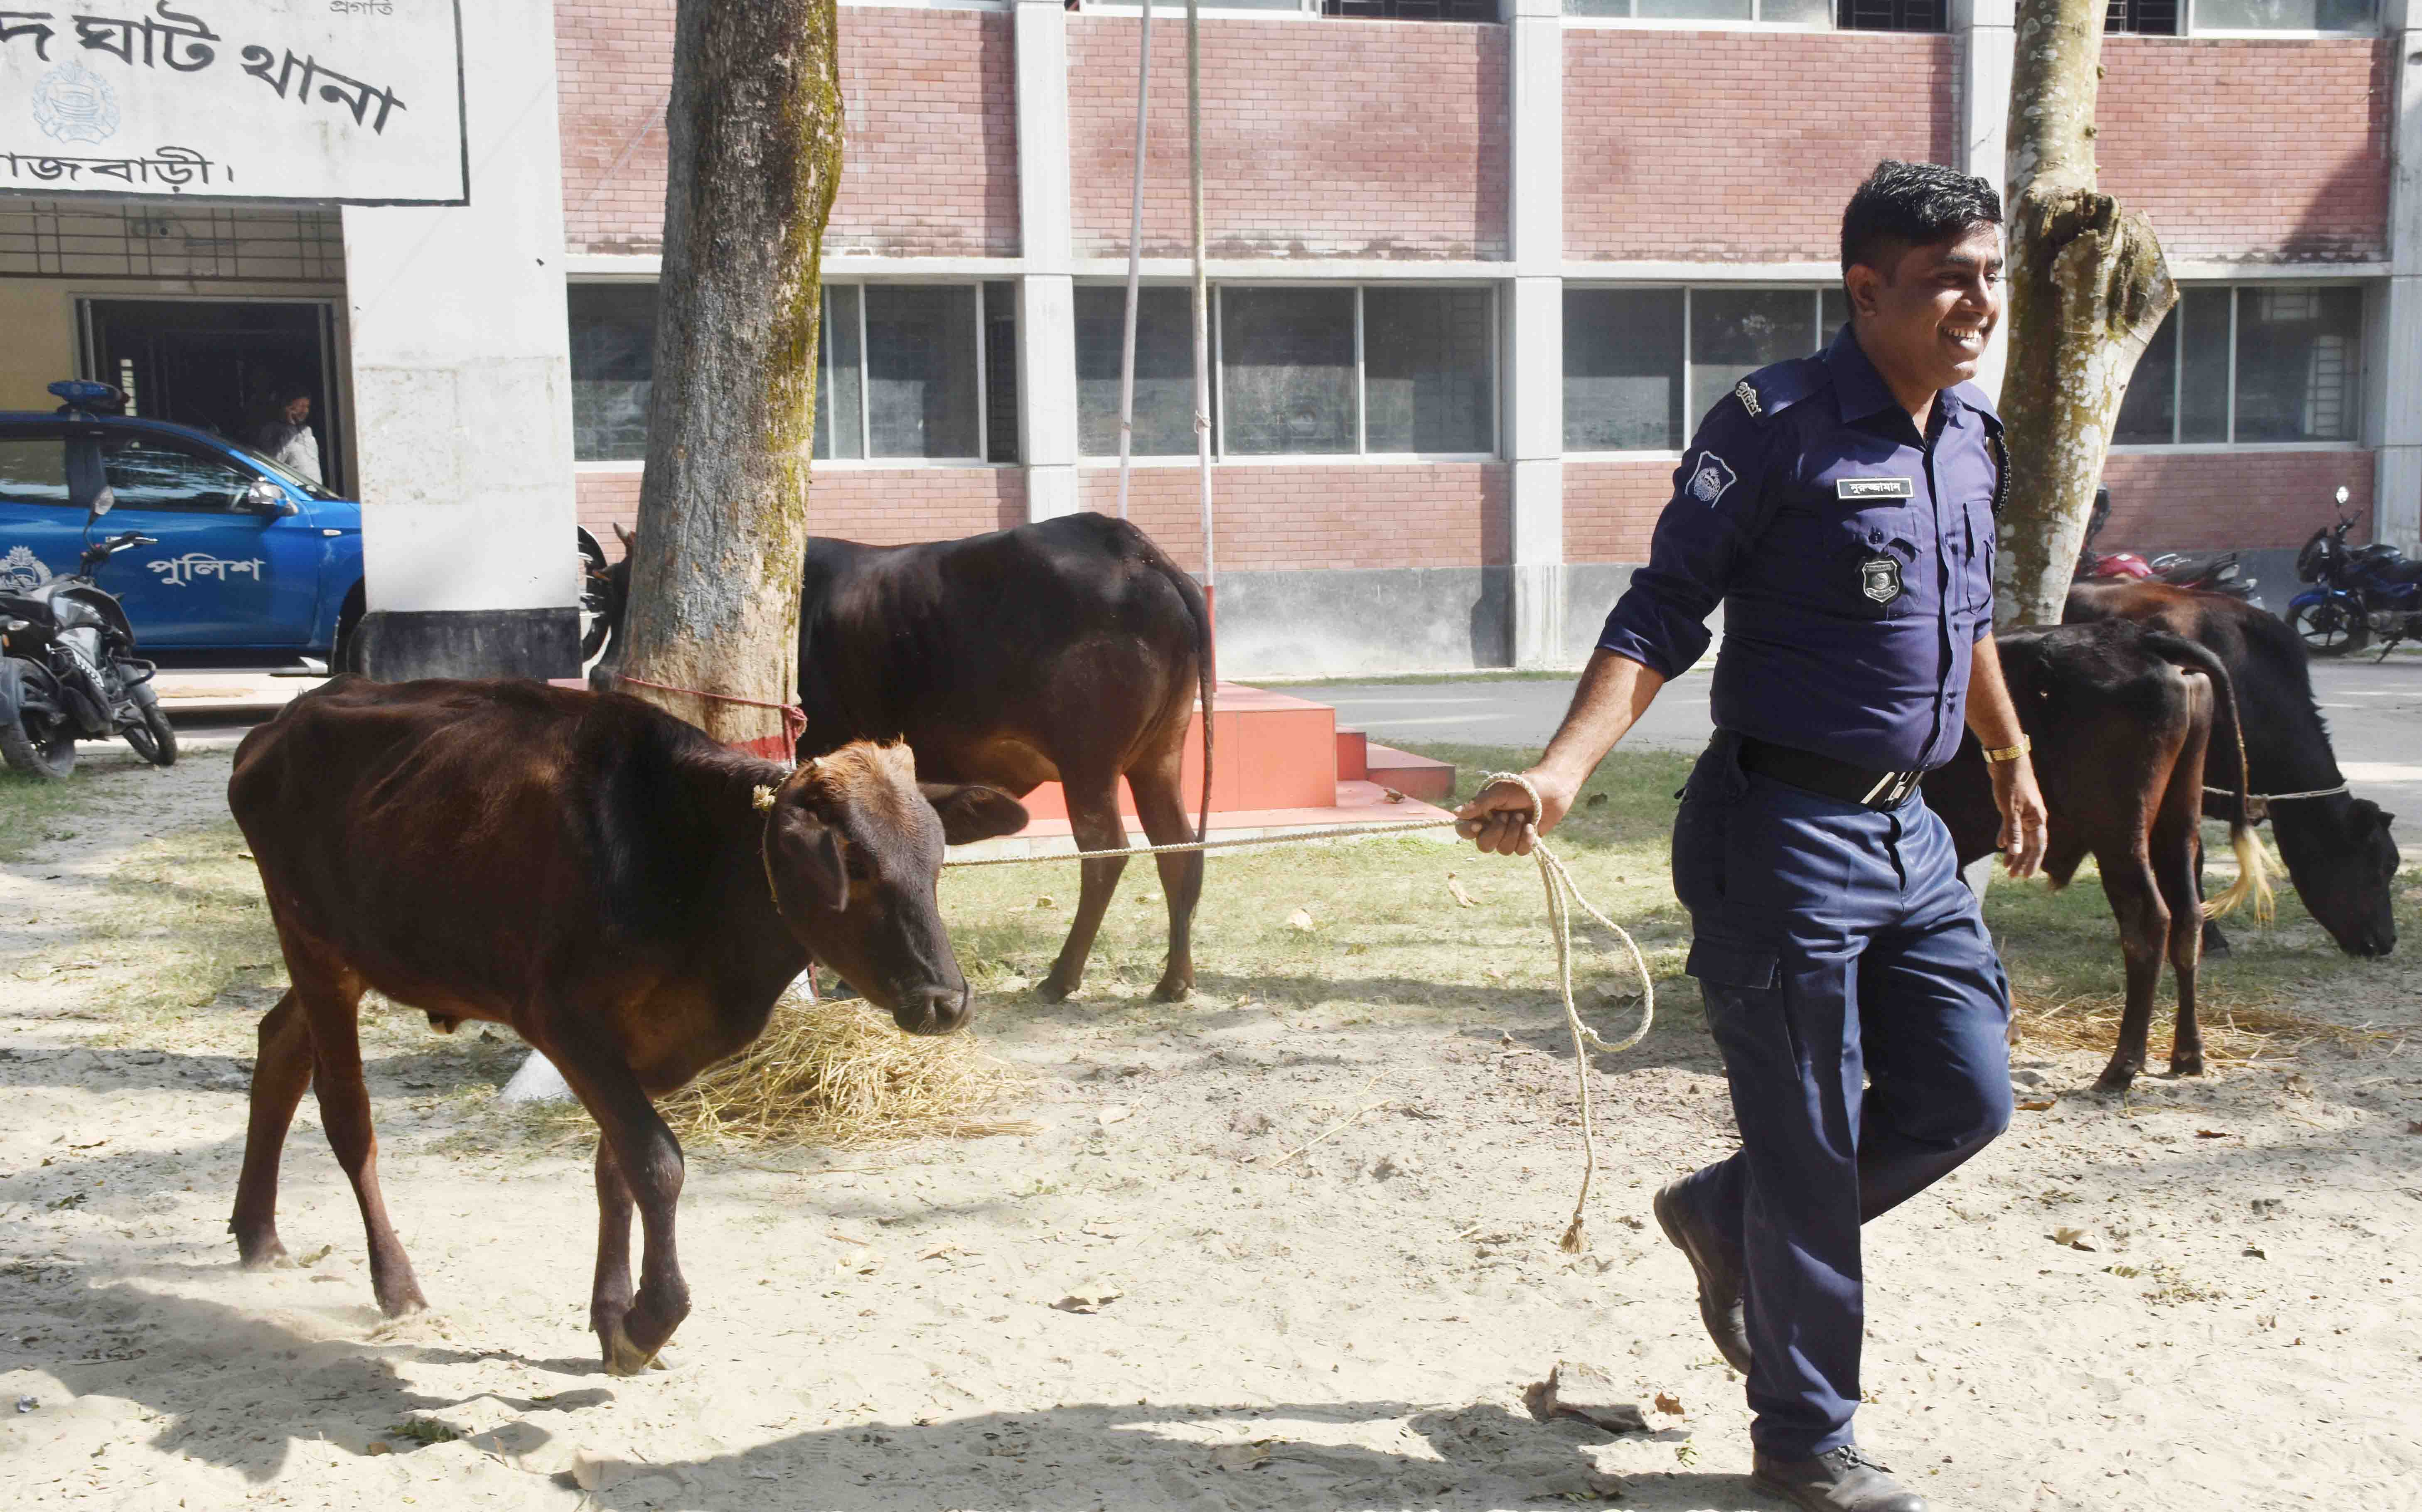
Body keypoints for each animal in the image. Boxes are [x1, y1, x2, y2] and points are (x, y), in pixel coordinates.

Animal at [223, 678, 1027, 1376]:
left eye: (936, 859)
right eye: (854, 864)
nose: (946, 1000)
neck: (684, 860)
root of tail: (277, 726)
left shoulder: (656, 1044)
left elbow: (618, 1170)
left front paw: (613, 1317)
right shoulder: (561, 1021)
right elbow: (658, 1163)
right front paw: (651, 1319)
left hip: (350, 954)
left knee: (279, 1047)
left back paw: (258, 1234)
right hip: (314, 946)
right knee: (346, 1114)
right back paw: (395, 1284)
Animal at [598, 516, 1211, 1003]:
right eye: (609, 598)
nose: (602, 676)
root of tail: (1131, 549)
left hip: (1089, 764)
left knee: (1107, 853)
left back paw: (1063, 978)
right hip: (1161, 754)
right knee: (1178, 847)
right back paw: (1174, 979)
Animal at [1928, 620, 2267, 1090]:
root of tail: (2141, 639)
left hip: (2118, 834)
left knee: (2148, 921)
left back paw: (2122, 1066)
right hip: (2178, 823)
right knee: (2188, 917)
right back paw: (2187, 1054)